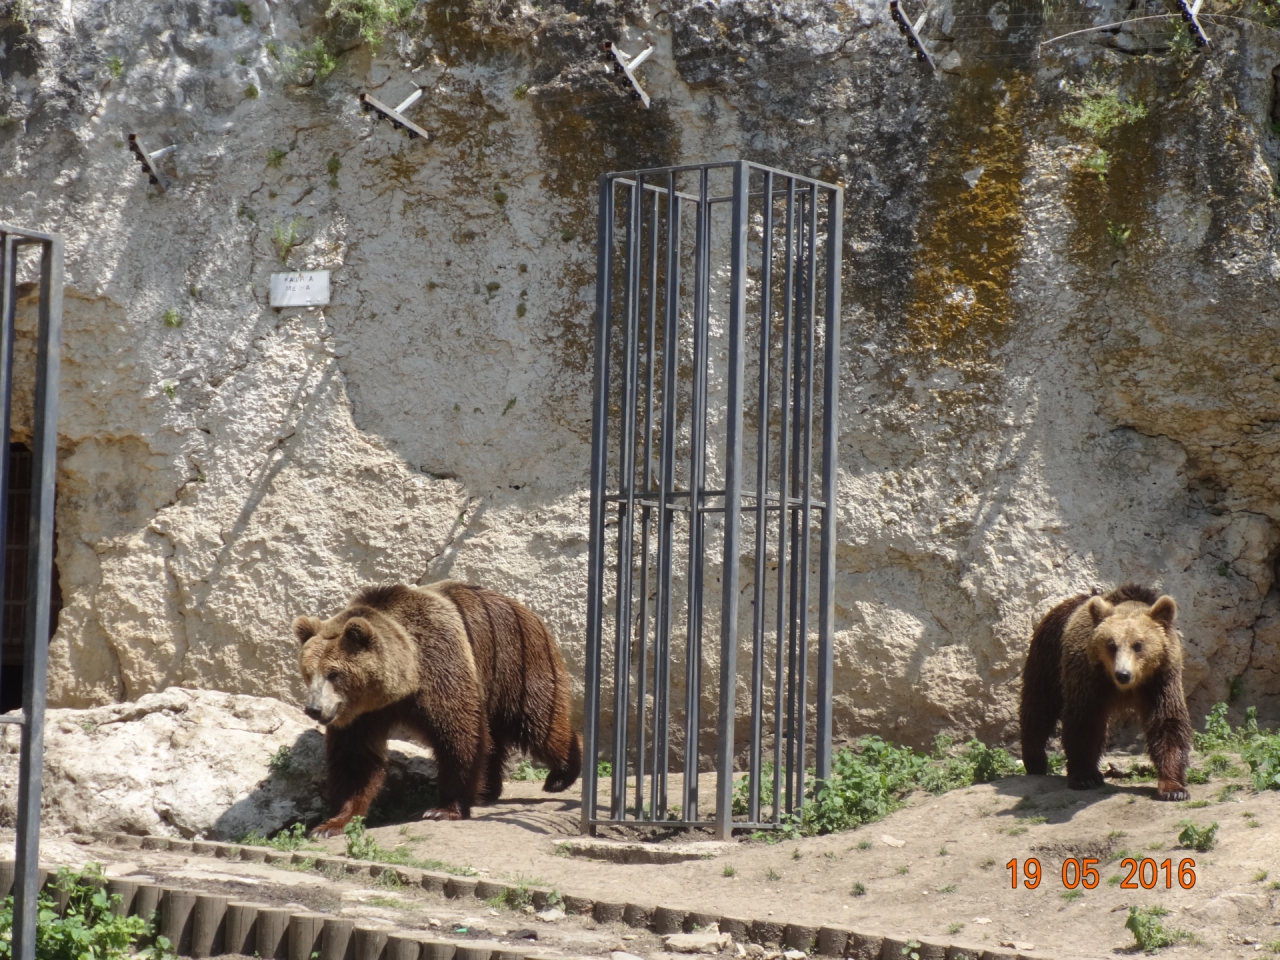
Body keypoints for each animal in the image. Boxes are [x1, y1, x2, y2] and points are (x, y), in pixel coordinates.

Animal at [294, 578, 581, 834]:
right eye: (308, 672)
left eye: (334, 674)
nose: (314, 709)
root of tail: (527, 610)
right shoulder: (361, 715)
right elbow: (355, 759)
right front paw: (332, 823)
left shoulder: (439, 667)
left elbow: (458, 736)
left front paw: (444, 809)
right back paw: (488, 789)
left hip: (516, 664)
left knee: (537, 722)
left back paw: (560, 775)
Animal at [1018, 586, 1187, 803]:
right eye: (1111, 645)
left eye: (1138, 645)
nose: (1123, 674)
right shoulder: (1089, 678)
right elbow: (1084, 722)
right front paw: (1084, 777)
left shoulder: (1160, 680)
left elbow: (1167, 722)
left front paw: (1174, 788)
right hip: (1049, 658)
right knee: (1038, 707)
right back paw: (1036, 761)